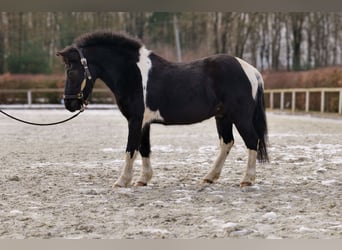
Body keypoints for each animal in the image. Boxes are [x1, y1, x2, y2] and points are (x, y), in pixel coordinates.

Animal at [56, 31, 270, 188]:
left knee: (252, 141)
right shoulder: (143, 122)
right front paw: (143, 179)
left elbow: (130, 149)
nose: (69, 104)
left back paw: (247, 180)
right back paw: (209, 177)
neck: (132, 74)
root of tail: (251, 71)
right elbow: (144, 149)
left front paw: (122, 181)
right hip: (223, 117)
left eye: (71, 71)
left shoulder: (135, 120)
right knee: (227, 143)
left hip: (240, 117)